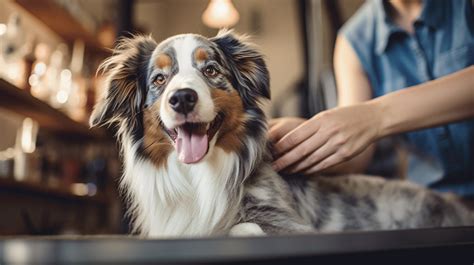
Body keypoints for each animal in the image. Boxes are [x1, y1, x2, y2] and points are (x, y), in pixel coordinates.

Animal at [90, 29, 474, 236]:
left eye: (211, 70)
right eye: (159, 79)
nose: (182, 98)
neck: (198, 176)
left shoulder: (291, 226)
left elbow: (236, 227)